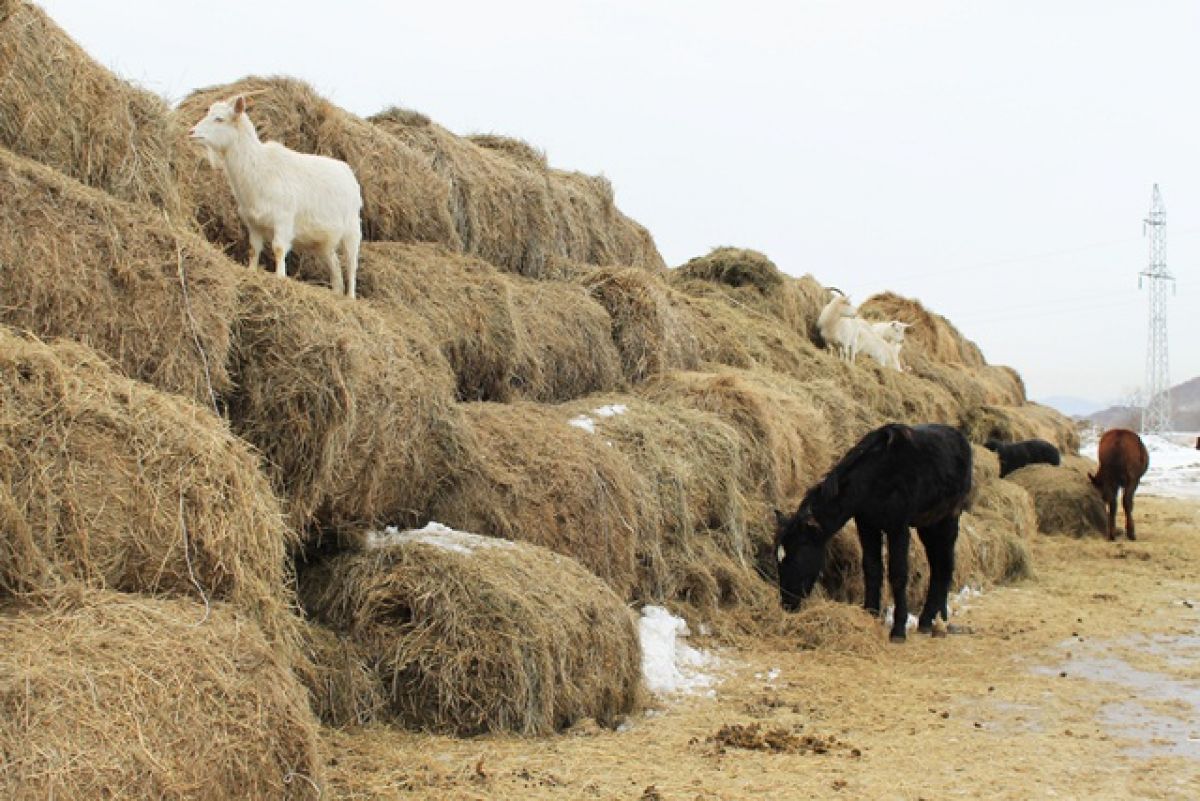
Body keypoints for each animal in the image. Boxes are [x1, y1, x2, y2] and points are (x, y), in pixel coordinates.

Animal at [187, 94, 362, 298]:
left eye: (219, 119)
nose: (191, 132)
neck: (259, 168)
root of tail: (348, 172)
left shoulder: (283, 220)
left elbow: (278, 249)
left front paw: (280, 278)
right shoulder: (253, 223)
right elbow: (253, 249)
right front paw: (251, 272)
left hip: (352, 230)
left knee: (351, 264)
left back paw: (350, 297)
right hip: (323, 242)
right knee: (335, 265)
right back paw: (336, 293)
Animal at [772, 422, 969, 642]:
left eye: (797, 556)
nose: (787, 603)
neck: (874, 477)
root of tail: (959, 437)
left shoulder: (898, 528)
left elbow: (898, 574)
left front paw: (898, 630)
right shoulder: (867, 525)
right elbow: (872, 568)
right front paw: (870, 614)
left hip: (948, 519)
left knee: (945, 565)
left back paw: (933, 621)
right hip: (928, 524)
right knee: (938, 565)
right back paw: (930, 620)